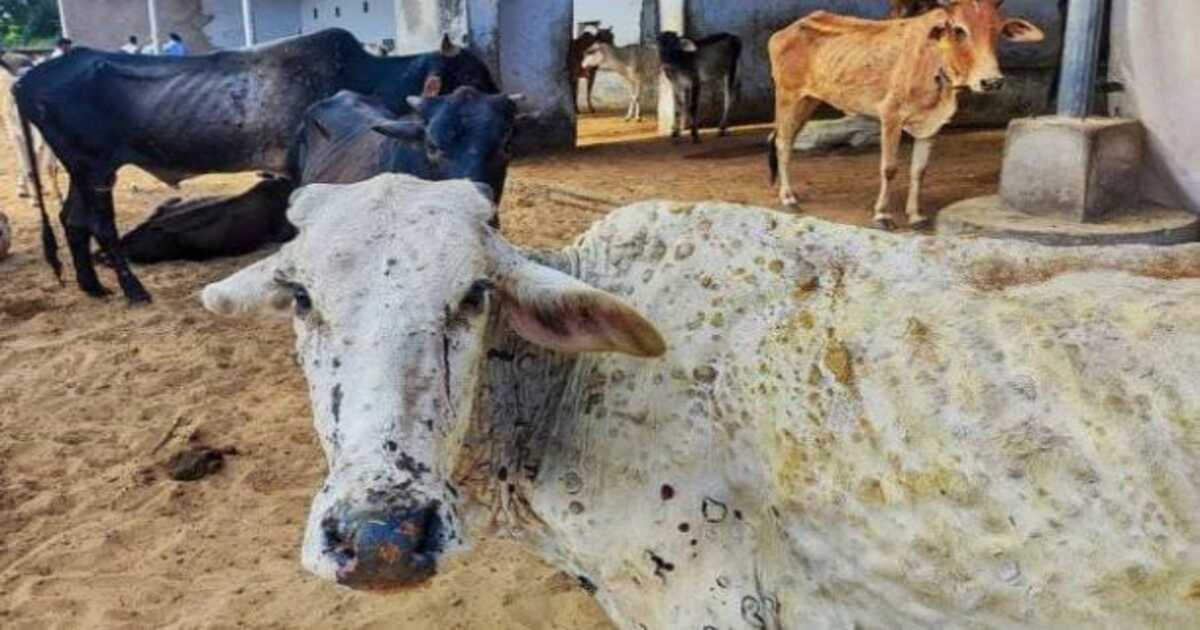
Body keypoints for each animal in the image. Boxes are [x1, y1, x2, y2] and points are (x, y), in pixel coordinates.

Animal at [767, 0, 1044, 229]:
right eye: (959, 30)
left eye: (997, 30)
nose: (991, 82)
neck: (935, 63)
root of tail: (785, 31)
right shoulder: (890, 116)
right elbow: (889, 168)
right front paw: (882, 215)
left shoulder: (931, 125)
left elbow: (919, 171)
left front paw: (916, 216)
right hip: (788, 97)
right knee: (782, 143)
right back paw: (788, 198)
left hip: (808, 102)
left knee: (784, 140)